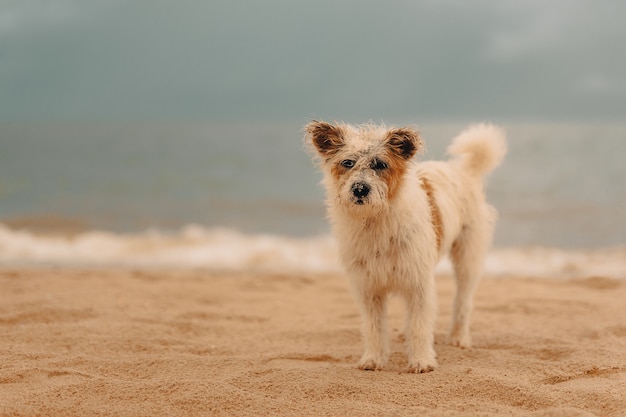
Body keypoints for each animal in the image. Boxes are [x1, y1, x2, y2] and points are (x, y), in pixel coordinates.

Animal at [304, 118, 504, 372]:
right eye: (348, 163)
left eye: (380, 164)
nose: (359, 189)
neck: (375, 221)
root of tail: (464, 171)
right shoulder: (368, 288)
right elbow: (374, 326)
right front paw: (373, 359)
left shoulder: (419, 283)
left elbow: (420, 325)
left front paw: (421, 360)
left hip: (467, 259)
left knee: (463, 301)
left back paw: (459, 337)